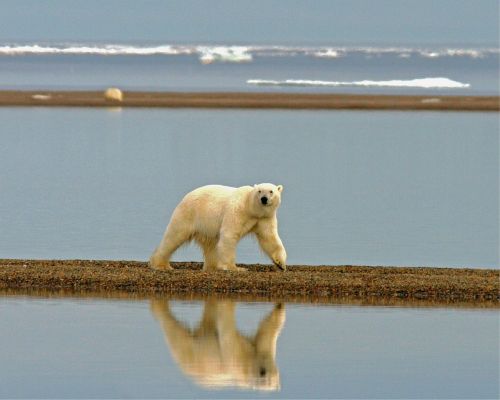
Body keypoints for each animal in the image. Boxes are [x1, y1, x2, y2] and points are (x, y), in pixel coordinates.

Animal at [149, 184, 286, 272]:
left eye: (271, 191)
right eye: (259, 191)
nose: (264, 199)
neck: (250, 208)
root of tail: (185, 197)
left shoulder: (264, 218)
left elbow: (269, 238)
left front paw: (281, 264)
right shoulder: (236, 211)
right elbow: (229, 235)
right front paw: (235, 267)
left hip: (206, 226)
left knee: (211, 244)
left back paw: (212, 266)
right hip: (189, 214)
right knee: (174, 236)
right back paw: (161, 265)